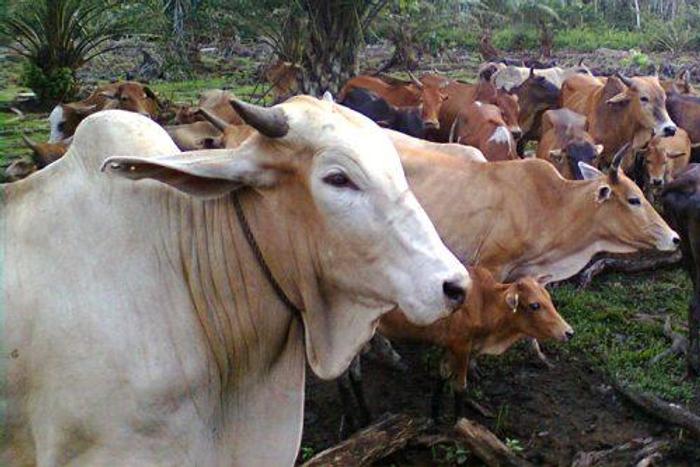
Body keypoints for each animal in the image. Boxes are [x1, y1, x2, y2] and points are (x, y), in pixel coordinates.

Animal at [378, 267, 573, 419]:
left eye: (548, 298)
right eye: (534, 305)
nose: (569, 332)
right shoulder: (462, 346)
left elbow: (442, 376)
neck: (485, 302)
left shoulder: (450, 347)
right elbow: (460, 387)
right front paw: (459, 424)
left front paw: (434, 418)